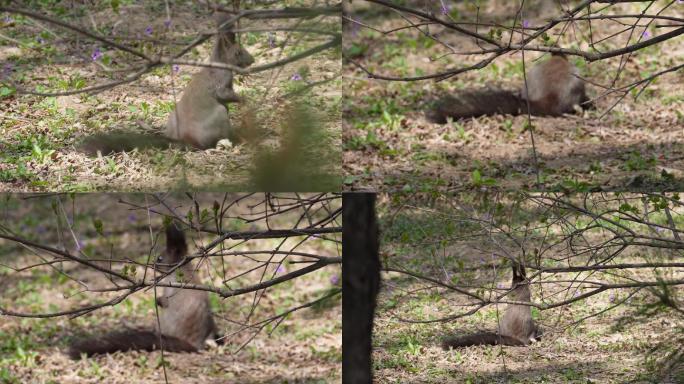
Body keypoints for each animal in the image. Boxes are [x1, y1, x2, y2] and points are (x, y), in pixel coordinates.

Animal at [68, 224, 220, 358]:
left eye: (160, 258)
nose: (151, 264)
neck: (183, 269)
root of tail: (194, 344)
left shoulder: (170, 287)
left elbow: (164, 301)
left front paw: (157, 301)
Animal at [77, 13, 254, 154]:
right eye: (238, 52)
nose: (252, 61)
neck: (219, 63)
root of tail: (186, 140)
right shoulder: (220, 80)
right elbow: (223, 94)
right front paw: (245, 100)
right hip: (220, 115)